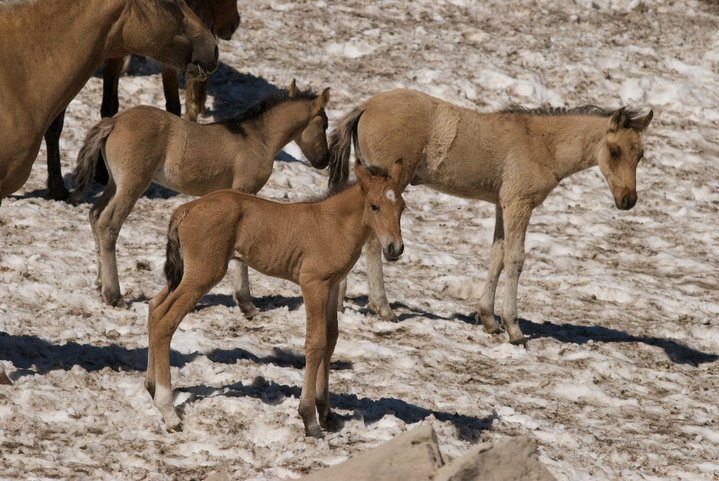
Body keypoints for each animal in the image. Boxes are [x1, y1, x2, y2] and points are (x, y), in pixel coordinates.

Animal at [330, 89, 656, 344]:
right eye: (614, 151)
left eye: (639, 155)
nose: (627, 200)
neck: (542, 144)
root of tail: (365, 106)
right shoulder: (519, 204)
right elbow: (515, 258)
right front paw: (514, 328)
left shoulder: (502, 204)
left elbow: (496, 254)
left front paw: (489, 319)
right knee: (375, 241)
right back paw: (383, 308)